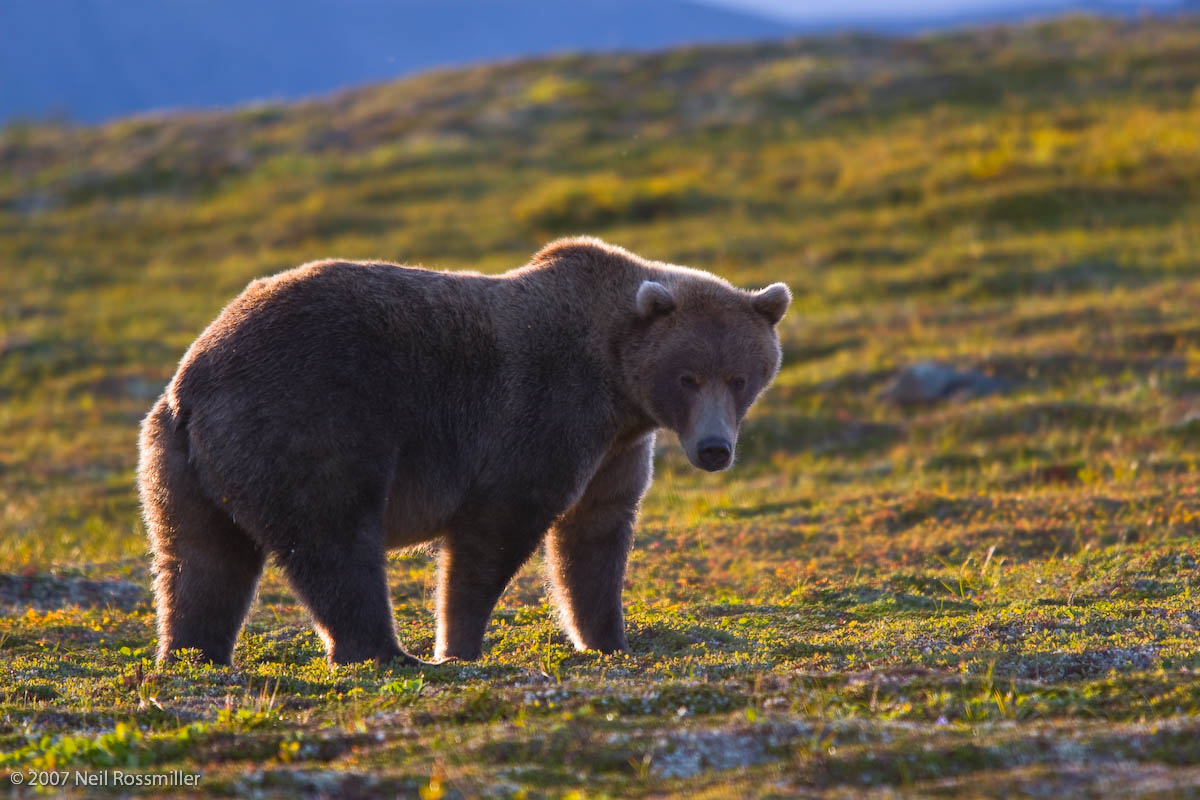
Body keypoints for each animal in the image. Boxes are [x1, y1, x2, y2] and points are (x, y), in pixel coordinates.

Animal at [137, 237, 790, 667]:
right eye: (688, 376)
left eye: (739, 377)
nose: (714, 448)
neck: (616, 385)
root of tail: (195, 376)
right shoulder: (540, 417)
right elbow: (495, 533)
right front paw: (458, 646)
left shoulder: (617, 450)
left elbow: (595, 539)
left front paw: (608, 640)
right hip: (307, 422)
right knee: (334, 540)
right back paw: (384, 653)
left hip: (182, 464)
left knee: (199, 560)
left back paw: (193, 653)